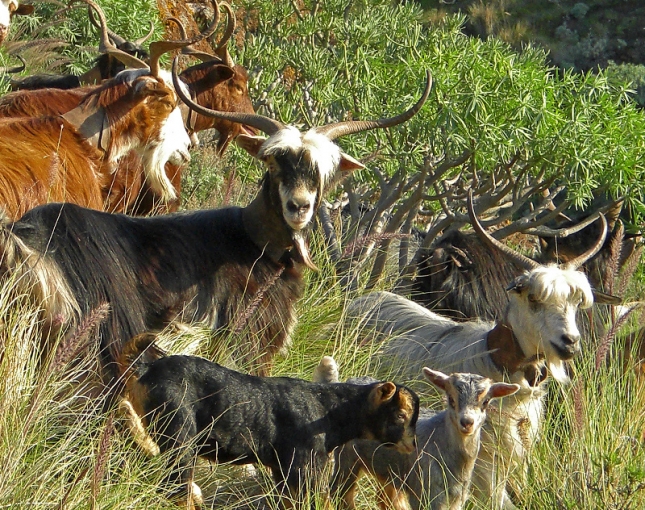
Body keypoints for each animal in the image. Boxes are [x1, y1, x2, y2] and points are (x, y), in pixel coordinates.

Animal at [1, 68, 432, 382]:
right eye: (274, 162)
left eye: (322, 171)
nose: (299, 207)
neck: (251, 243)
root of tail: (23, 242)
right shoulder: (247, 342)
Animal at [117, 332, 418, 508]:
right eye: (400, 414)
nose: (412, 445)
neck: (328, 410)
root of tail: (146, 369)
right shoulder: (303, 467)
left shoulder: (281, 470)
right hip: (179, 428)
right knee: (174, 481)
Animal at [330, 366, 520, 510]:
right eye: (451, 399)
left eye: (485, 402)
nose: (467, 422)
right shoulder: (425, 493)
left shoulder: (456, 498)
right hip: (346, 458)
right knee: (339, 495)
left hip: (389, 471)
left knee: (386, 500)